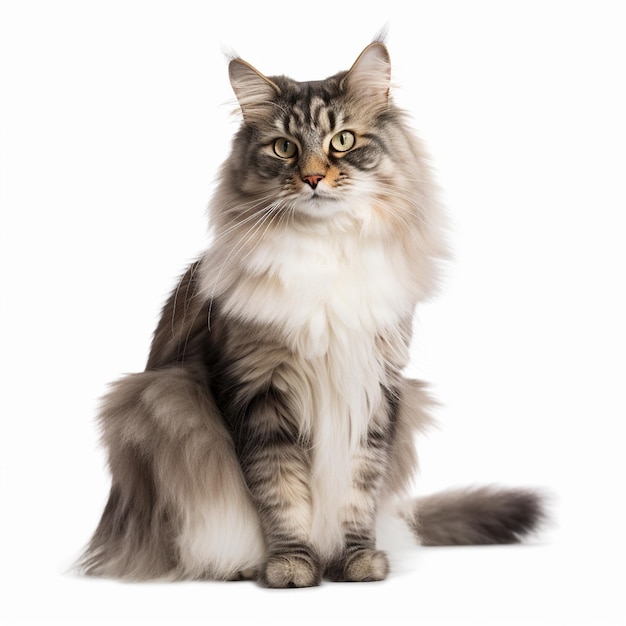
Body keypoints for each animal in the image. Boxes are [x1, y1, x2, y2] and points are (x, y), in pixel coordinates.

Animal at [80, 40, 544, 584]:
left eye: (342, 140)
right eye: (284, 148)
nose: (314, 178)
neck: (326, 252)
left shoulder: (374, 391)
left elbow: (358, 491)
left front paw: (357, 559)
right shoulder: (258, 391)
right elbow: (280, 493)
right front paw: (291, 566)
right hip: (162, 399)